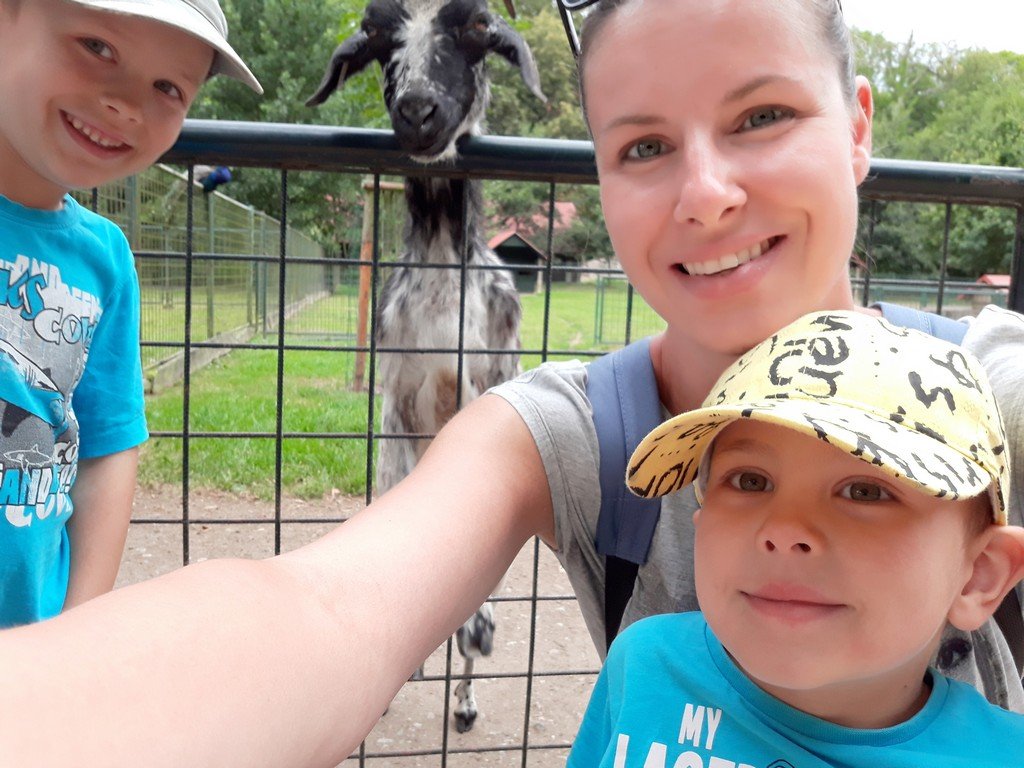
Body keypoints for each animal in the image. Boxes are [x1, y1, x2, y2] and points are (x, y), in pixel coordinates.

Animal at [307, 0, 545, 734]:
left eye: (474, 34)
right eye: (381, 46)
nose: (416, 111)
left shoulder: (491, 387)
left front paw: (478, 638)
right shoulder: (400, 404)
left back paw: (465, 696)